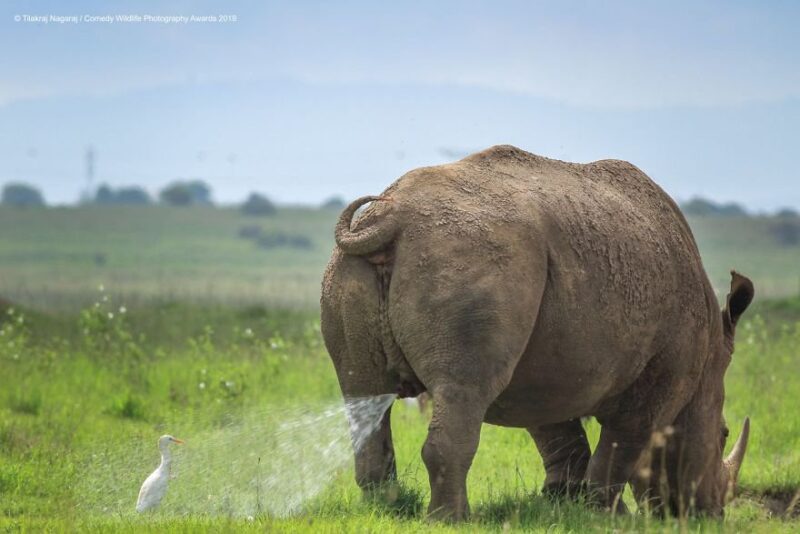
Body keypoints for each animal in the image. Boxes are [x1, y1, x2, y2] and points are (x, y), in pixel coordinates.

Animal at [321, 145, 753, 520]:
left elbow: (559, 435)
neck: (711, 355)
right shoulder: (663, 376)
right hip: (473, 258)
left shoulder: (546, 367)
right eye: (724, 434)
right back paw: (451, 520)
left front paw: (564, 504)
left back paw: (386, 510)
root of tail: (391, 218)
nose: (712, 513)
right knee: (463, 390)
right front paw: (608, 517)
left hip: (354, 269)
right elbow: (623, 446)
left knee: (362, 393)